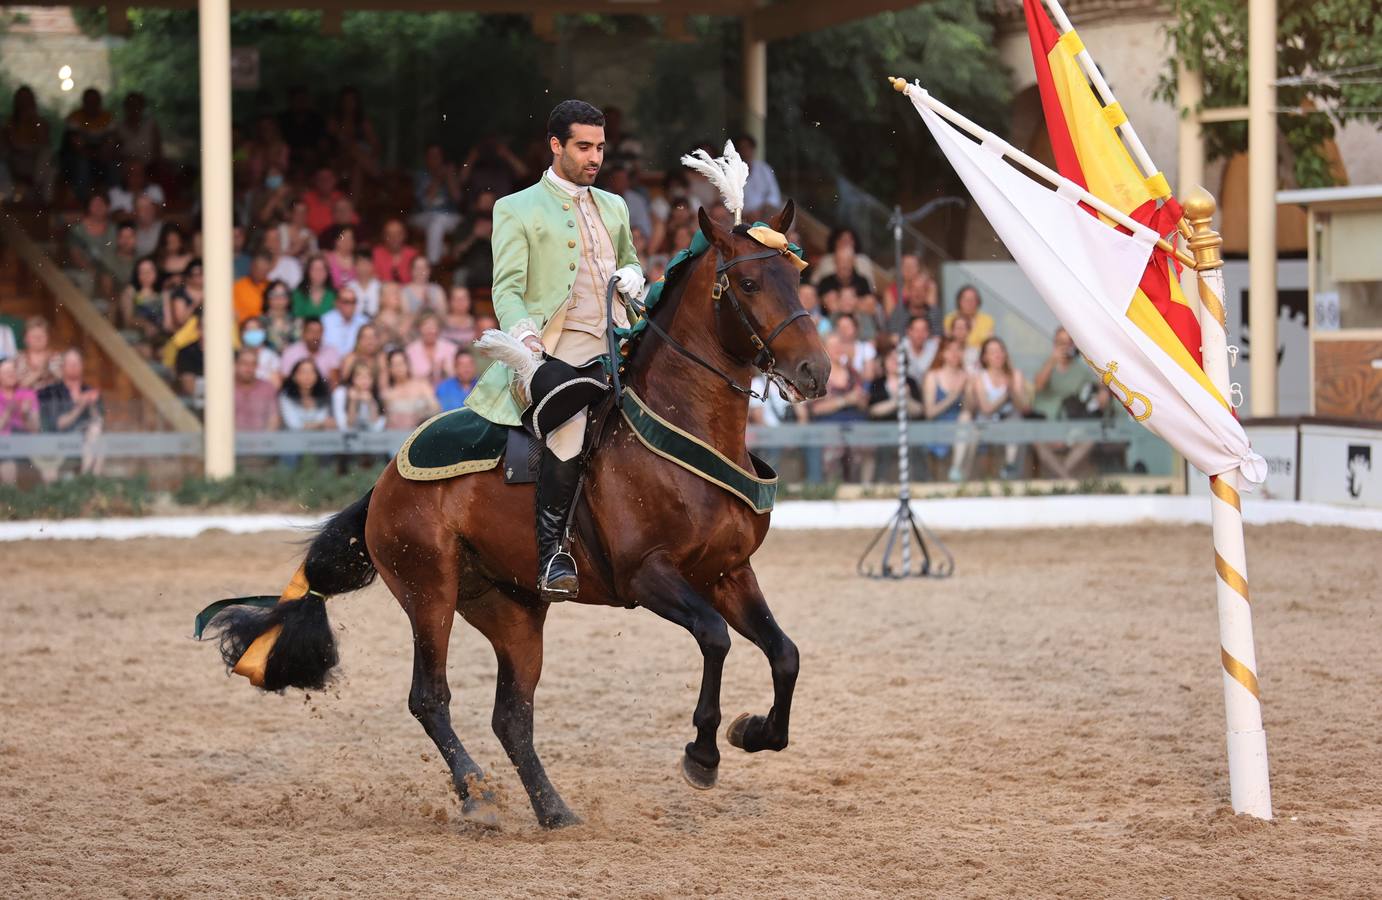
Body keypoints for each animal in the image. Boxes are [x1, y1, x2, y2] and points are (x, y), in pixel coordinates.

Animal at [210, 204, 823, 829]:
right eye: (748, 283)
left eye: (795, 276)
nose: (814, 371)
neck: (682, 426)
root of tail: (384, 481)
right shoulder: (648, 576)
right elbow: (716, 638)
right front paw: (702, 753)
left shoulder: (727, 573)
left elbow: (785, 654)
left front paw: (755, 732)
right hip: (429, 593)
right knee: (430, 697)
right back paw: (477, 793)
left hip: (512, 610)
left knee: (511, 716)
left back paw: (553, 810)